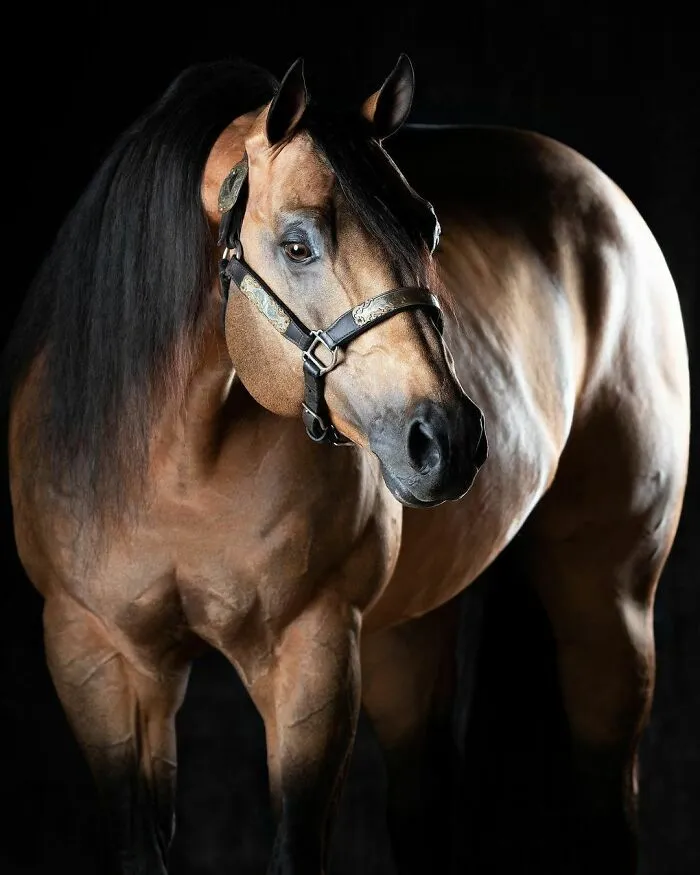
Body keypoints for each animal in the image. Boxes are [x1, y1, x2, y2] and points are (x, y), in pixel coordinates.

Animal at [3, 54, 689, 875]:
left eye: (427, 225)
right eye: (298, 244)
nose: (447, 438)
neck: (176, 465)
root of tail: (603, 197)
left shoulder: (315, 652)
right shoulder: (99, 661)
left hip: (610, 603)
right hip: (410, 632)